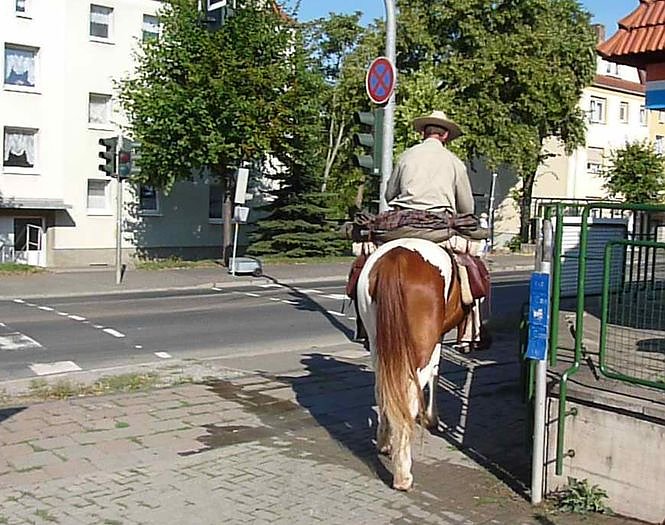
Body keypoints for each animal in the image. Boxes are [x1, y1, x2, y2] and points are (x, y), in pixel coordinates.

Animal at [356, 237, 466, 491]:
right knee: (409, 398)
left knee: (383, 390)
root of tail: (397, 258)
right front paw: (432, 418)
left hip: (379, 346)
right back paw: (403, 474)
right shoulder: (436, 340)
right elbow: (436, 371)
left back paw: (385, 442)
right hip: (420, 349)